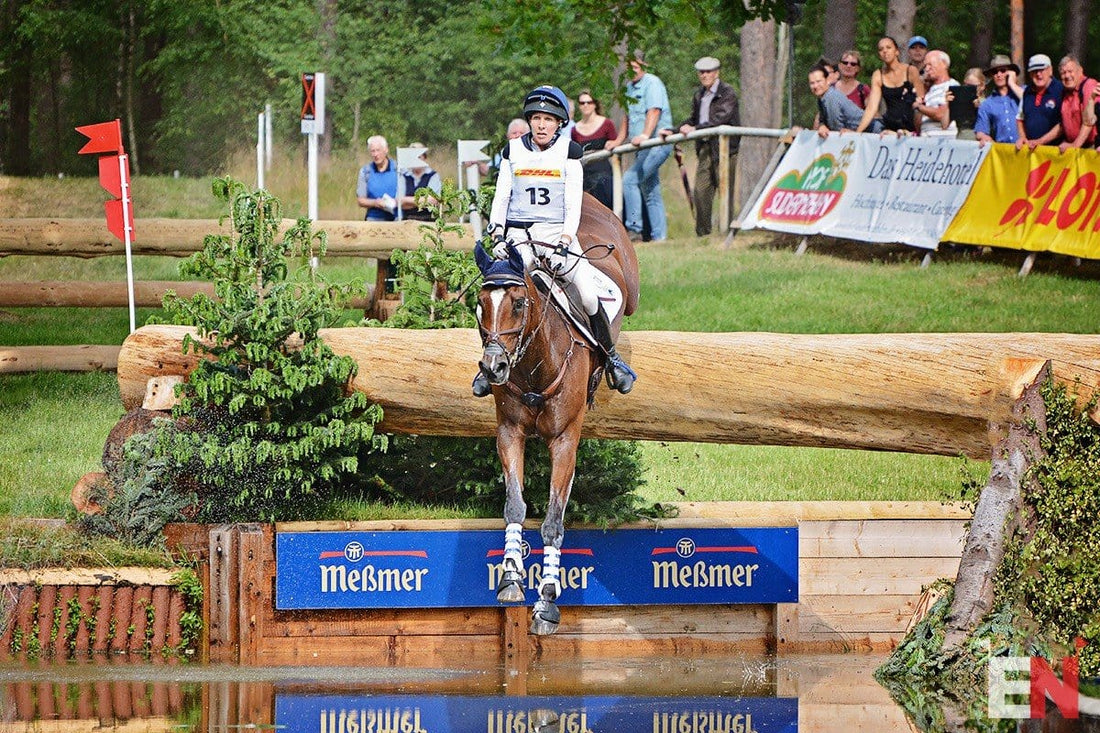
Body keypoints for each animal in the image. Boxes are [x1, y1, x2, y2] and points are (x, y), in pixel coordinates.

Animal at [475, 193, 642, 633]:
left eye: (519, 303)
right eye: (479, 306)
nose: (493, 367)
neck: (536, 362)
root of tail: (594, 202)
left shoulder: (565, 440)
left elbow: (553, 520)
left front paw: (547, 600)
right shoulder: (509, 432)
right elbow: (515, 505)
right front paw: (511, 578)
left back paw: (619, 368)